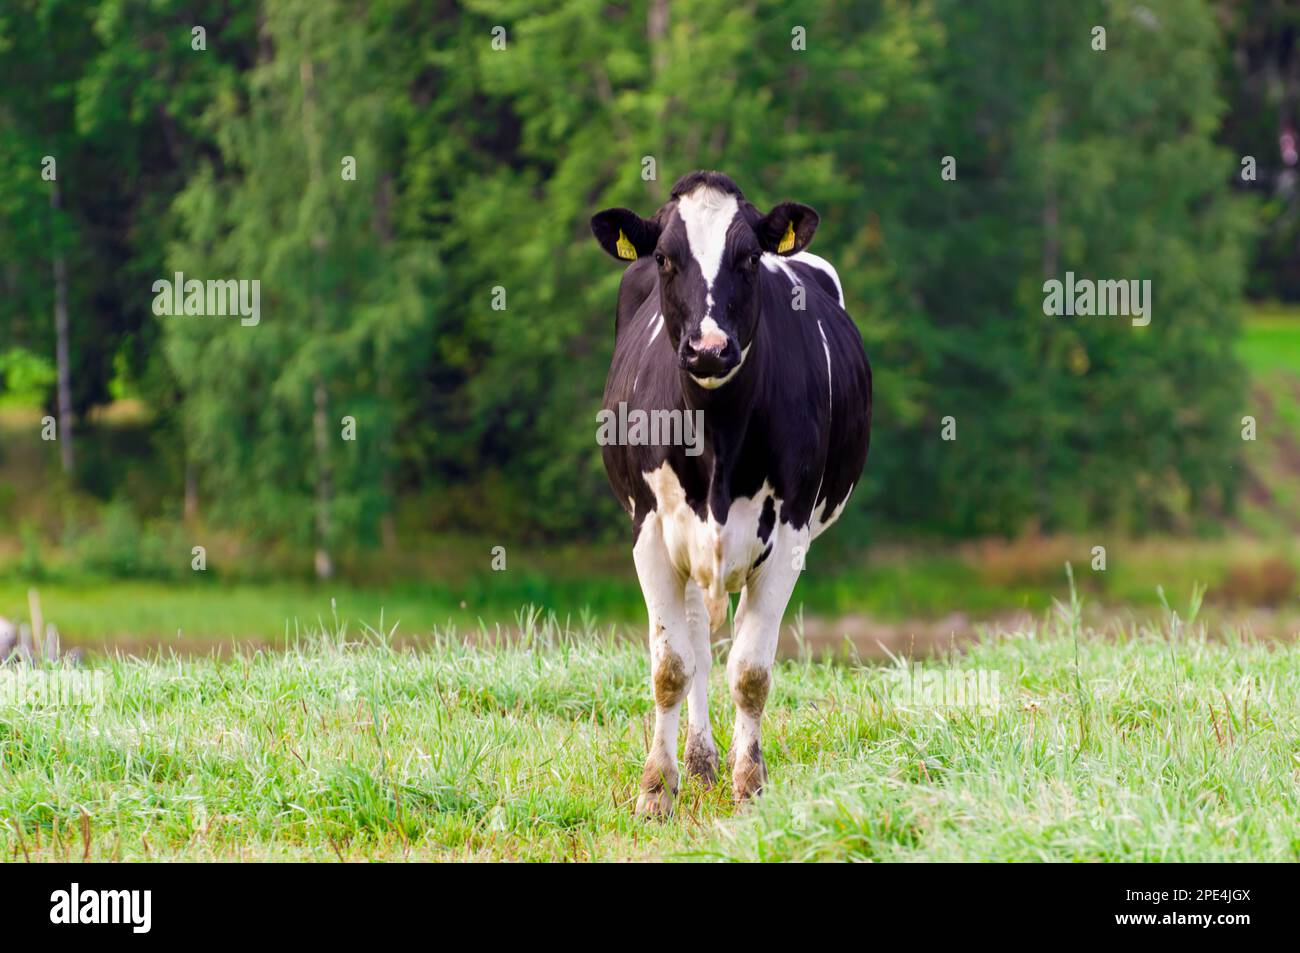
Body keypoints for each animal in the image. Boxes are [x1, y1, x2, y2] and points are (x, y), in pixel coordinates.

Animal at [592, 169, 873, 811]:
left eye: (748, 257)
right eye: (666, 258)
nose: (710, 348)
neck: (716, 429)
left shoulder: (790, 533)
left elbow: (750, 671)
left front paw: (750, 783)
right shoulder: (649, 529)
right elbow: (672, 666)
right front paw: (656, 788)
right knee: (695, 642)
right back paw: (698, 761)